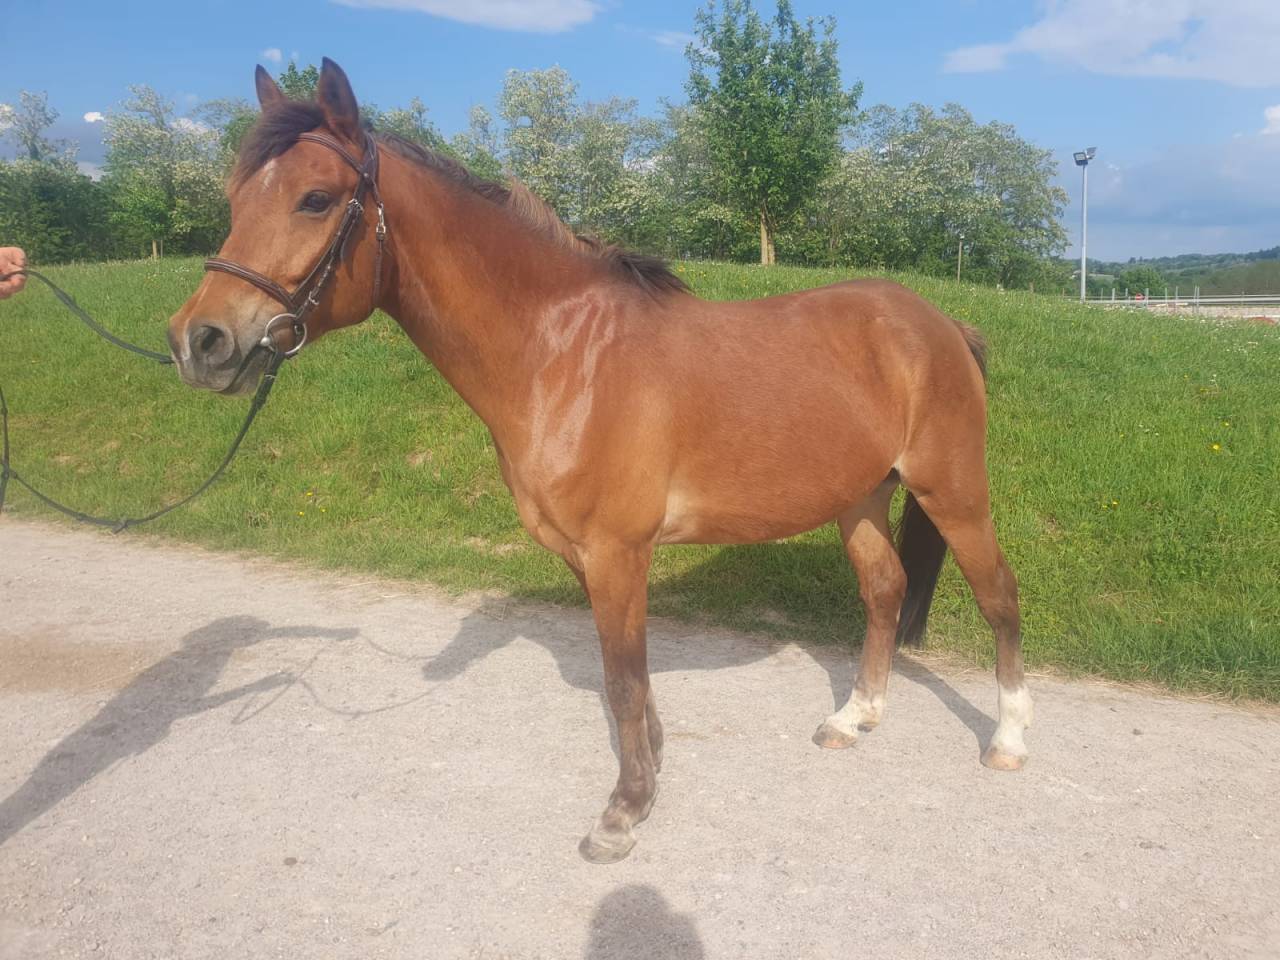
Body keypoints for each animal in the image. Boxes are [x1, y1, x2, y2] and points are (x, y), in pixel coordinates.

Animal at [167, 59, 1031, 863]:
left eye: (315, 199)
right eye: (235, 200)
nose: (200, 342)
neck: (563, 356)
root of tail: (940, 324)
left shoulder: (619, 552)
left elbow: (620, 678)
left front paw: (622, 812)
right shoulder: (586, 557)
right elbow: (630, 682)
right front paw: (650, 768)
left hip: (953, 491)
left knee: (998, 595)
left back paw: (1009, 739)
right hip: (859, 497)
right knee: (884, 590)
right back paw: (855, 717)